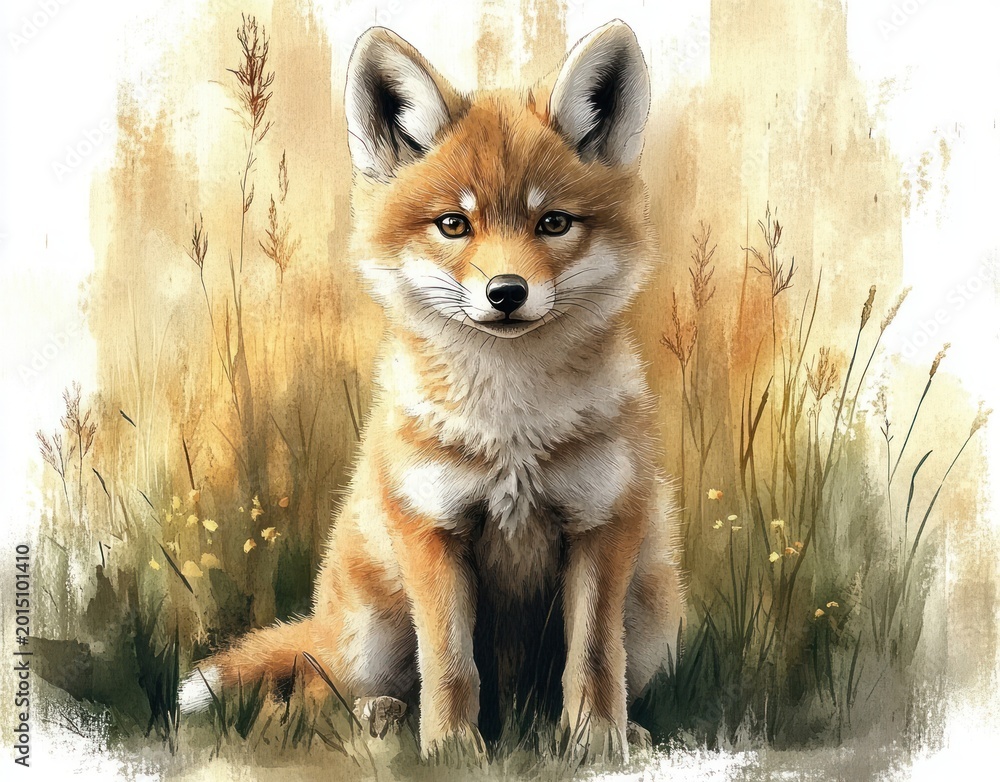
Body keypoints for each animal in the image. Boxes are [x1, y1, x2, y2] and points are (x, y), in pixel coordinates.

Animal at [179, 19, 685, 764]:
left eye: (553, 223)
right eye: (454, 224)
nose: (506, 293)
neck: (511, 433)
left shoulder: (601, 525)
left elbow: (594, 660)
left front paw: (595, 745)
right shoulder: (432, 529)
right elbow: (449, 663)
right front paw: (452, 752)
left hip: (653, 603)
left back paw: (624, 732)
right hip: (369, 629)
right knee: (317, 690)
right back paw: (380, 718)